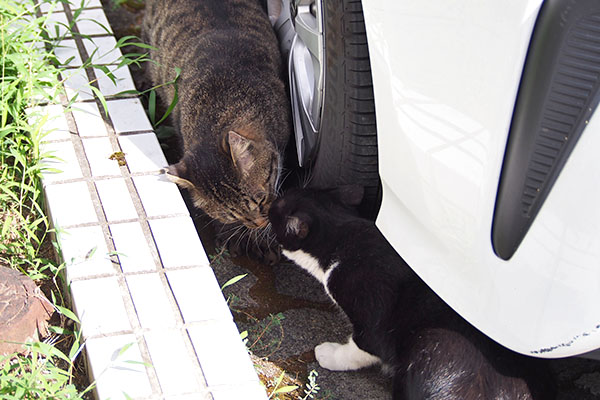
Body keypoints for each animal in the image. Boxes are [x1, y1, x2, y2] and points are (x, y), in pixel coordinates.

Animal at [270, 188, 556, 400]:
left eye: (277, 208)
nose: (272, 198)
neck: (344, 235)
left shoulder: (372, 319)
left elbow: (361, 347)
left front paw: (329, 354)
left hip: (426, 345)